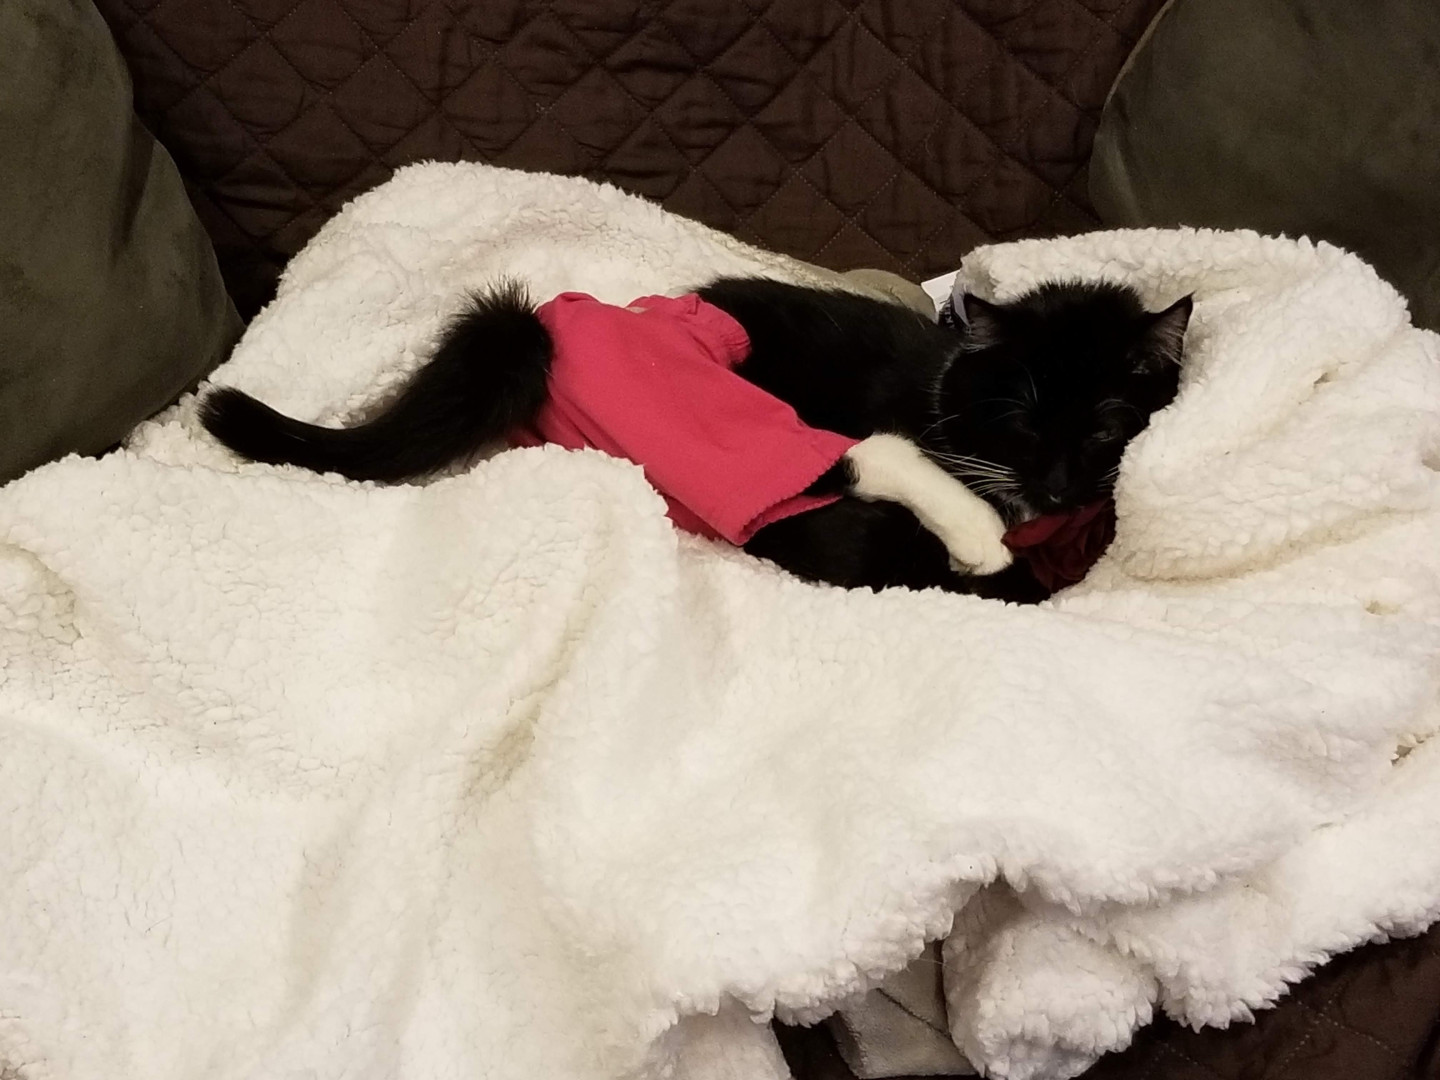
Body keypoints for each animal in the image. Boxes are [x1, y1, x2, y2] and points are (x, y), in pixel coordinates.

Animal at [199, 277, 1190, 601]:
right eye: (1023, 419)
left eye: (1109, 426)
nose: (1060, 487)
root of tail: (553, 324)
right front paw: (997, 550)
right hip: (714, 423)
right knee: (861, 463)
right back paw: (973, 540)